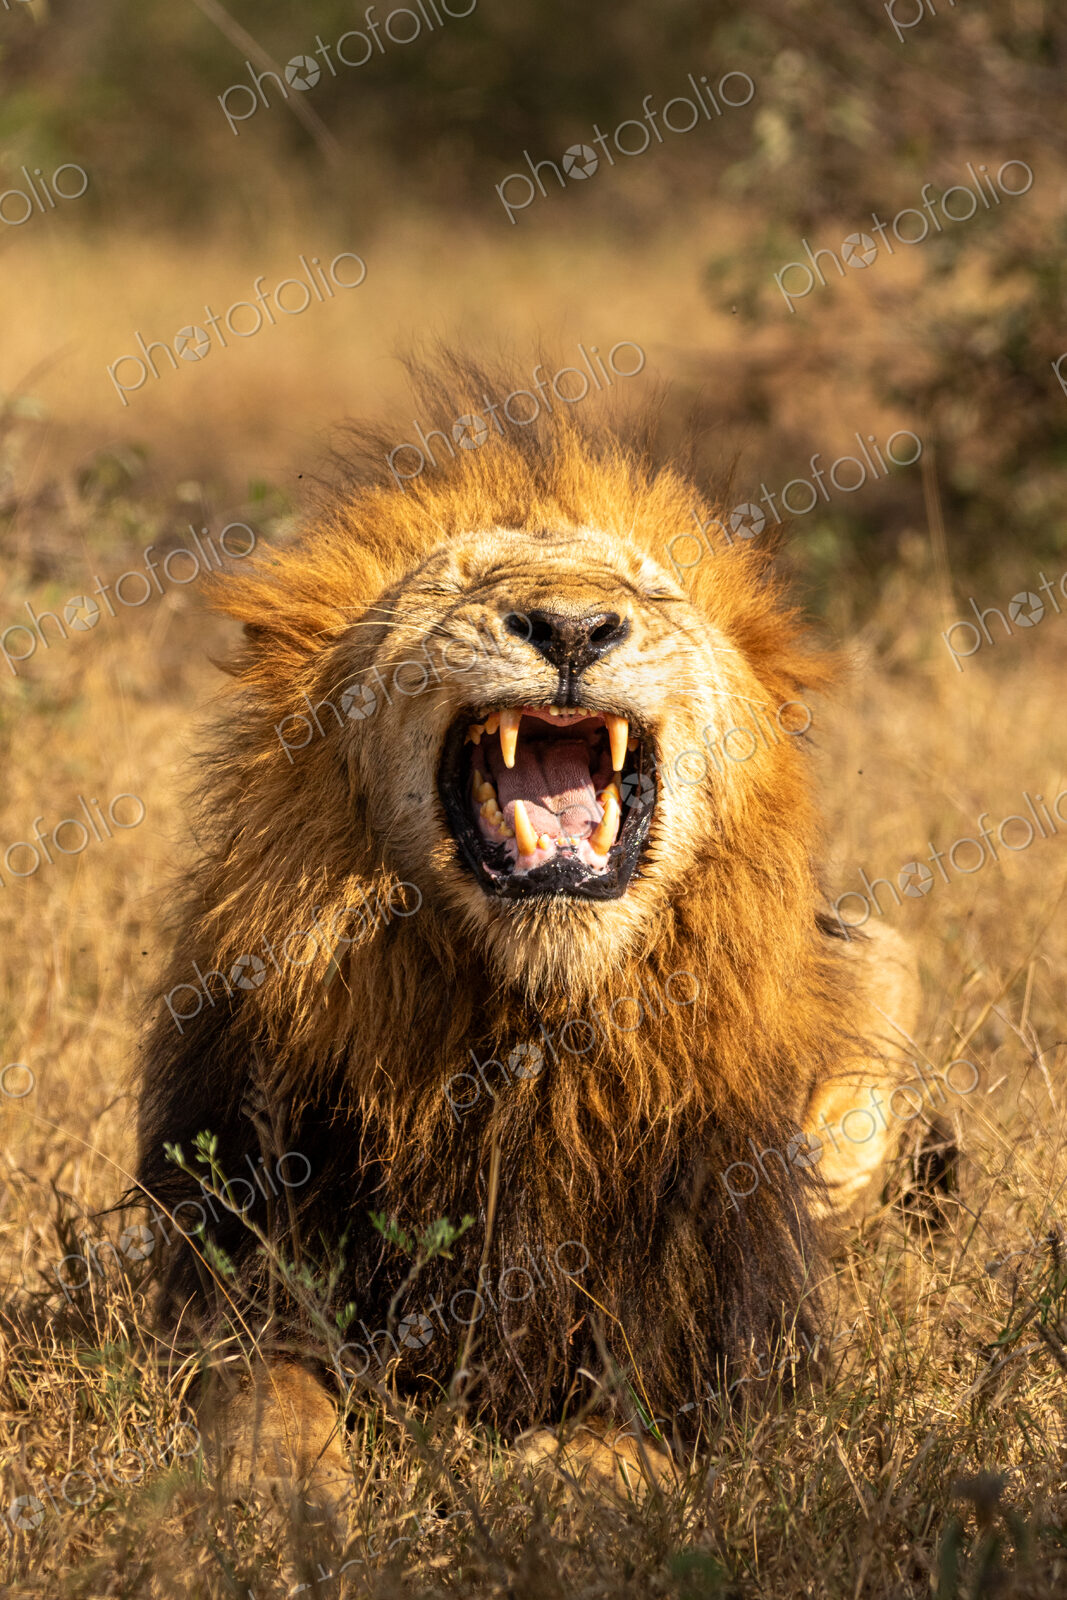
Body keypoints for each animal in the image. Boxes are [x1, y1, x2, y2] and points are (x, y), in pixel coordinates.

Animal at [135, 354, 922, 1501]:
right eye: (460, 588)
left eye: (645, 595)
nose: (570, 629)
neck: (527, 1035)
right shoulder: (253, 1250)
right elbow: (259, 1387)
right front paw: (277, 1490)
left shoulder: (713, 1319)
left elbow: (633, 1424)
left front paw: (571, 1485)